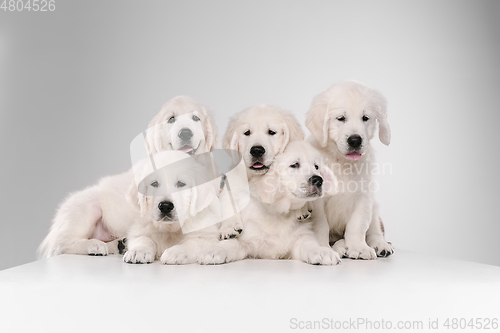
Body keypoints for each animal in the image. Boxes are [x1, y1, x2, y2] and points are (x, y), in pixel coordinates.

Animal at [37, 94, 217, 258]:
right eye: (171, 119)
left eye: (196, 118)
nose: (185, 133)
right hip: (86, 208)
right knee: (61, 245)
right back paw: (94, 245)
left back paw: (119, 245)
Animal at [304, 81, 394, 260]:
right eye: (341, 118)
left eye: (365, 118)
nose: (355, 140)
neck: (342, 162)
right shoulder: (318, 200)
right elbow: (321, 225)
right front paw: (323, 248)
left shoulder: (363, 197)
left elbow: (357, 225)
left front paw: (358, 247)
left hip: (374, 207)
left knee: (375, 229)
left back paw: (380, 245)